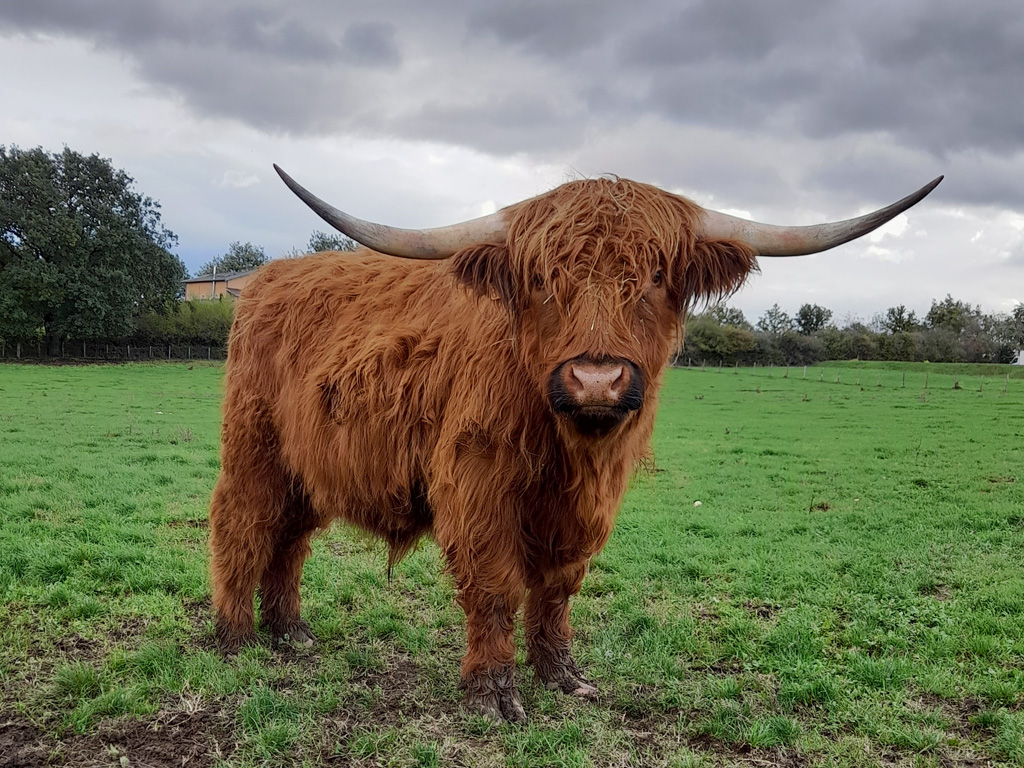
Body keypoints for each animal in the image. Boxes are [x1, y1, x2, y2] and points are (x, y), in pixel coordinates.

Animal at [209, 166, 942, 720]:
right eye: (541, 280)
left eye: (655, 277)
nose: (596, 379)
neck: (569, 450)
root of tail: (268, 278)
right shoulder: (476, 486)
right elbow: (495, 586)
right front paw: (493, 693)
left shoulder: (587, 503)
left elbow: (559, 586)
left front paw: (563, 675)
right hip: (253, 445)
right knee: (243, 523)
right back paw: (236, 636)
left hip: (306, 465)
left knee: (289, 536)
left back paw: (291, 632)